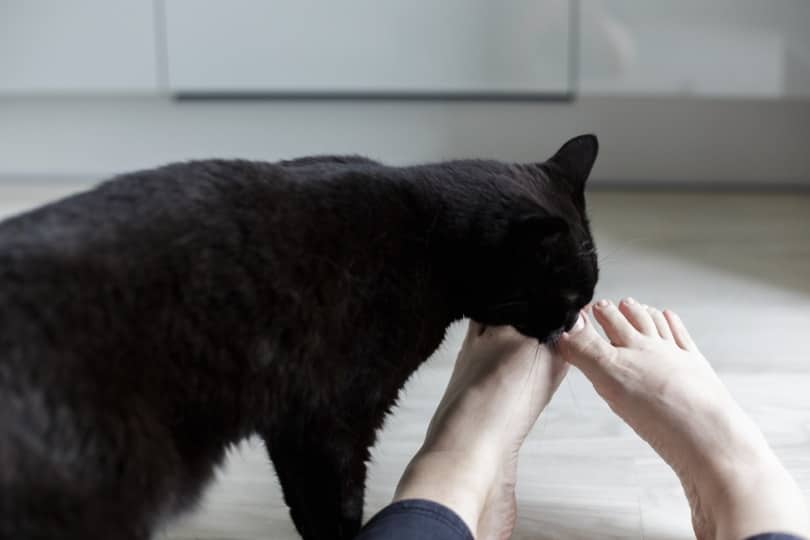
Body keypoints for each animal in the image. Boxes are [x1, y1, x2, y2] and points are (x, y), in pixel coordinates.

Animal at [0, 134, 592, 536]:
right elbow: (333, 506)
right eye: (568, 298)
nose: (568, 326)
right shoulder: (330, 419)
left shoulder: (291, 425)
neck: (431, 237)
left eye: (584, 299)